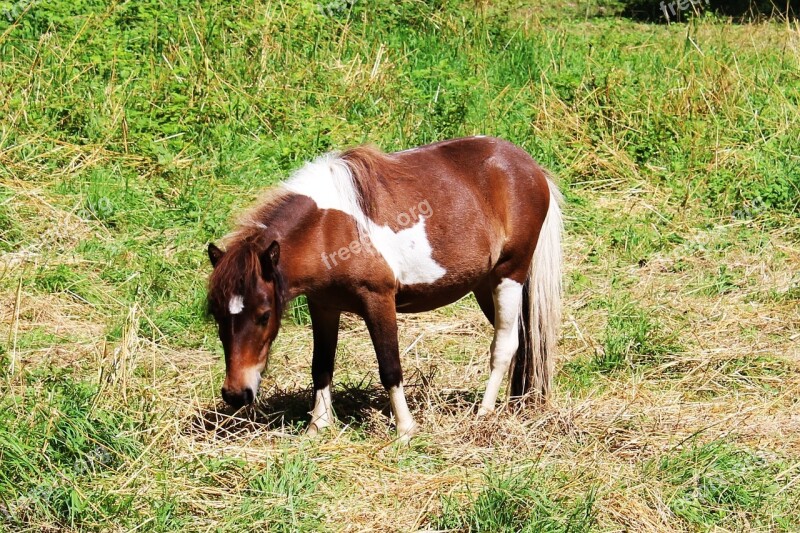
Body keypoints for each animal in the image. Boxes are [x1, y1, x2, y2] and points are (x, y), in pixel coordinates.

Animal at [206, 136, 564, 440]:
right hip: (485, 285)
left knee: (504, 346)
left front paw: (405, 429)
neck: (326, 229)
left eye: (264, 315)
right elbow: (321, 365)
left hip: (509, 274)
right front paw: (317, 426)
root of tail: (529, 167)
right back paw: (517, 403)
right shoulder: (323, 306)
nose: (235, 394)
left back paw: (484, 413)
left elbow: (390, 367)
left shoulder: (378, 300)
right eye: (218, 316)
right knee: (523, 341)